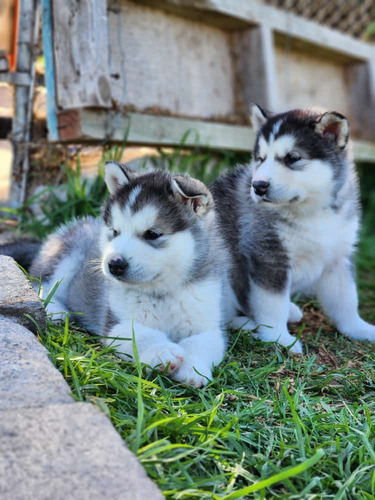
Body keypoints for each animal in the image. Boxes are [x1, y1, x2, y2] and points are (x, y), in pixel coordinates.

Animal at [30, 164, 226, 386]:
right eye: (115, 232)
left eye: (152, 234)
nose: (114, 264)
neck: (162, 293)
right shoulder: (116, 324)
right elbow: (140, 335)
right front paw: (163, 351)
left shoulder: (208, 325)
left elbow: (201, 343)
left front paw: (193, 369)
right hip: (69, 253)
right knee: (44, 283)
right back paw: (55, 310)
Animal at [213, 104, 374, 352]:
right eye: (260, 159)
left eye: (292, 157)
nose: (258, 186)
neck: (311, 212)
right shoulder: (269, 255)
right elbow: (272, 304)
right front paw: (279, 338)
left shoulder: (338, 257)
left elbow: (346, 299)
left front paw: (358, 328)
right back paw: (245, 323)